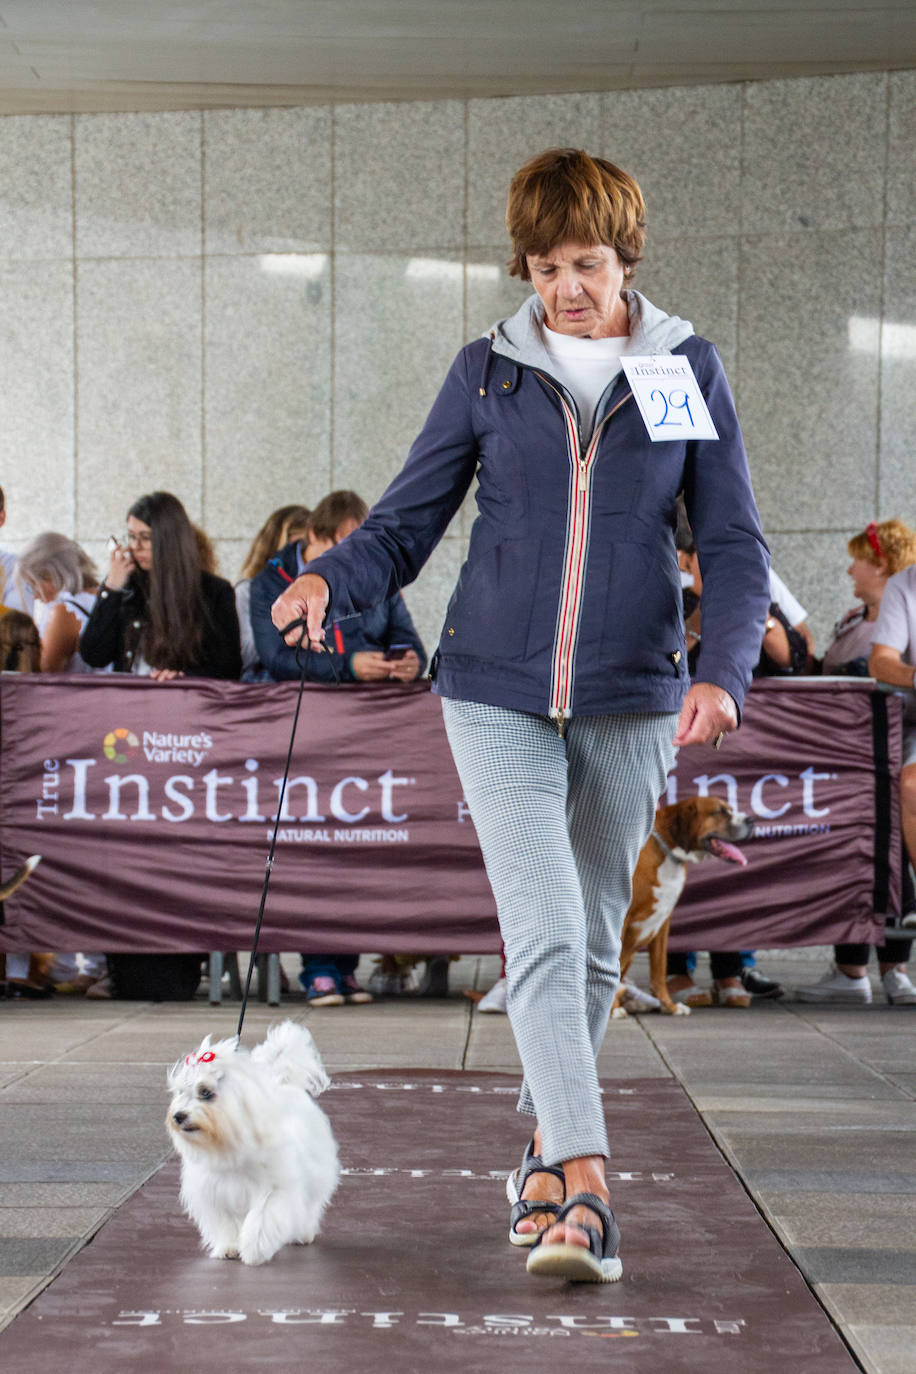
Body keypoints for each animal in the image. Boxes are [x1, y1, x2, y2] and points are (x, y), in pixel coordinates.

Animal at [166, 1022, 339, 1264]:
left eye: (205, 1092)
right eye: (181, 1092)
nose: (178, 1116)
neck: (227, 1144)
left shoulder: (274, 1189)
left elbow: (262, 1219)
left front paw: (254, 1251)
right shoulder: (217, 1193)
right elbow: (227, 1223)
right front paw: (229, 1247)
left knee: (309, 1205)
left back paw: (303, 1233)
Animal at [609, 796, 752, 1022]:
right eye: (719, 812)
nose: (751, 820)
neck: (667, 851)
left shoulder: (663, 924)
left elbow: (659, 971)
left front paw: (669, 1006)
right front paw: (613, 1009)